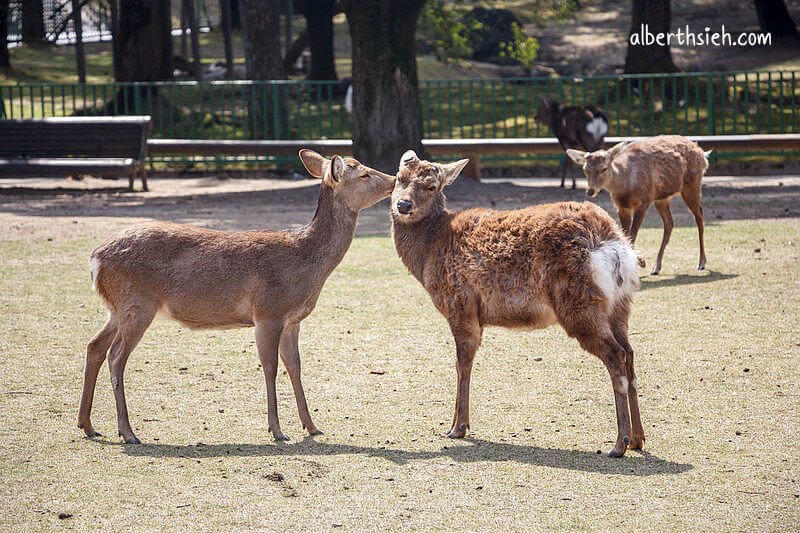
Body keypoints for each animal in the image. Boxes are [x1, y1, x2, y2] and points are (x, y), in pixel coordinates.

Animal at [79, 150, 396, 444]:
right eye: (364, 174)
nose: (394, 180)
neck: (305, 263)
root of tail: (95, 259)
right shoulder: (268, 312)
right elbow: (270, 367)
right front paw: (277, 430)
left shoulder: (293, 320)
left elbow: (295, 366)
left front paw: (312, 426)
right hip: (138, 303)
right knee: (116, 356)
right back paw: (127, 432)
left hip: (117, 308)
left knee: (94, 346)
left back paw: (88, 425)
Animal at [390, 150, 643, 458]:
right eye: (399, 178)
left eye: (431, 186)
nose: (403, 205)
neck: (428, 253)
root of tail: (613, 246)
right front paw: (459, 425)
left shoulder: (460, 305)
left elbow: (462, 364)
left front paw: (457, 428)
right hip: (621, 304)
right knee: (629, 353)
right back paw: (639, 439)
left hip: (580, 304)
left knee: (616, 355)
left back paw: (619, 443)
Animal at [566, 135, 709, 275]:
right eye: (585, 169)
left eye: (604, 168)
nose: (590, 191)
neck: (626, 186)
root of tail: (702, 153)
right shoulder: (621, 207)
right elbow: (624, 234)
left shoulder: (644, 201)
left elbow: (632, 234)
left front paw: (640, 263)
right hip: (662, 199)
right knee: (669, 223)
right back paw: (656, 267)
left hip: (692, 185)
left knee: (699, 216)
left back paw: (701, 262)